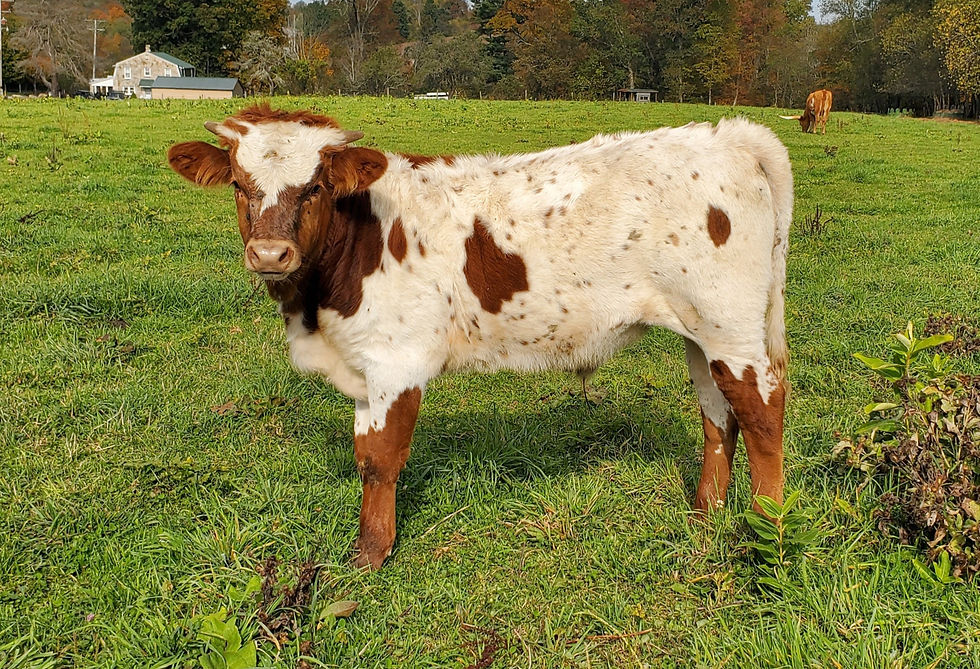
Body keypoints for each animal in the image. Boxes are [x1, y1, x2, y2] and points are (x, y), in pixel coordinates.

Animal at [167, 105, 793, 570]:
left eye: (316, 187)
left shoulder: (396, 364)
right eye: (239, 185)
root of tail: (728, 135)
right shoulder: (365, 369)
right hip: (701, 334)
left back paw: (769, 531)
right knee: (718, 416)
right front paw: (368, 547)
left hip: (732, 328)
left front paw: (373, 557)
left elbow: (383, 459)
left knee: (763, 413)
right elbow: (365, 455)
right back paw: (706, 516)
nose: (270, 254)